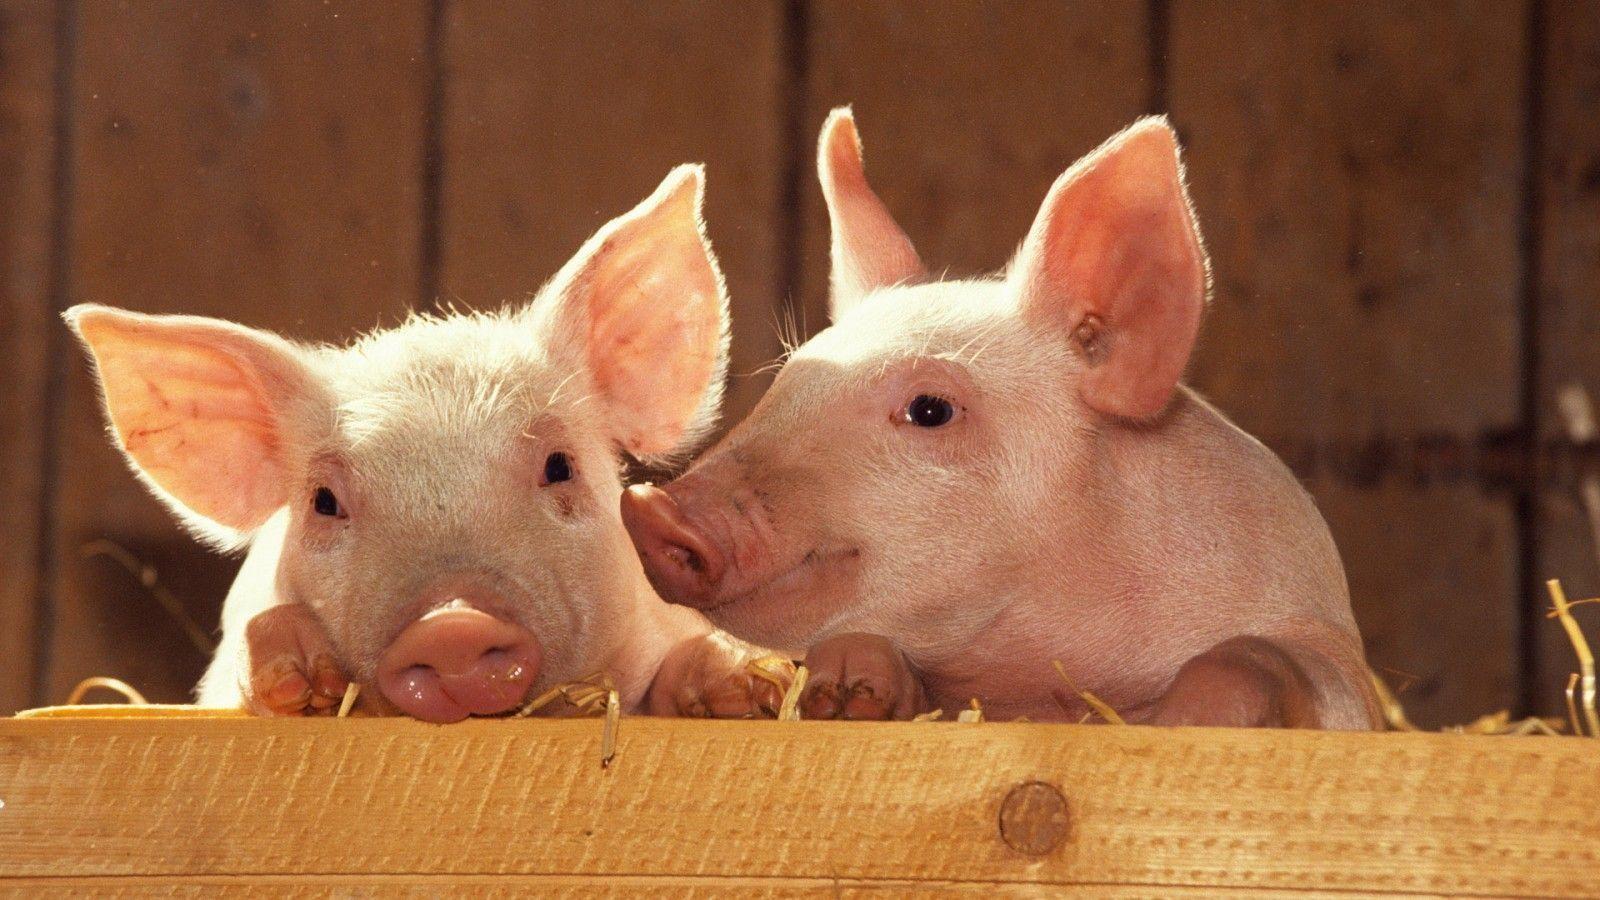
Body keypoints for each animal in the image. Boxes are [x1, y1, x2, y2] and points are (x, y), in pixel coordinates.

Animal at [623, 110, 1381, 729]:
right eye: (789, 379)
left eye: (930, 409)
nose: (651, 508)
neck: (1047, 677)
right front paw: (840, 684)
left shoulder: (1330, 651)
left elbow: (1259, 659)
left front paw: (1182, 722)